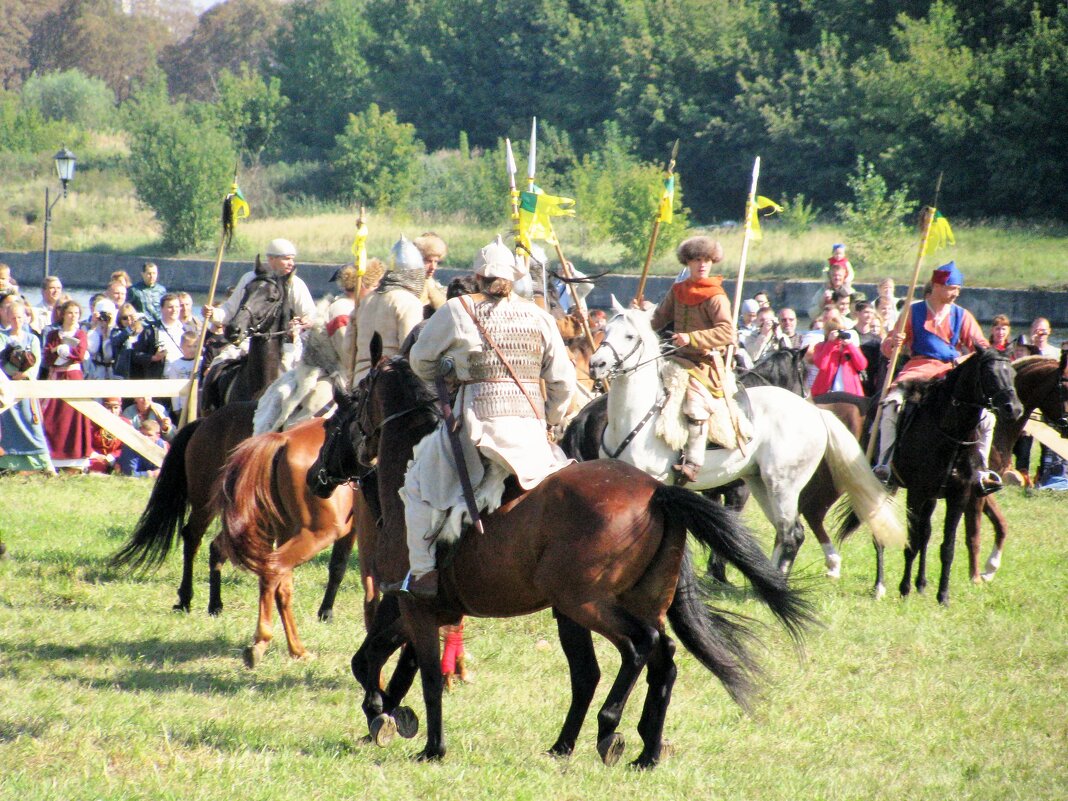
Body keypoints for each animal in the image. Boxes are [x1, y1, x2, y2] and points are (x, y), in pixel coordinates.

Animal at [212, 416, 375, 666]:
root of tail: (283, 439)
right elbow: (341, 569)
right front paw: (326, 613)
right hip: (314, 534)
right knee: (272, 570)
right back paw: (261, 640)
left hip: (285, 532)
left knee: (281, 586)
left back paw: (297, 649)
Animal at [307, 350, 807, 773]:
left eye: (337, 421)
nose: (316, 477)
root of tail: (657, 493)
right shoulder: (413, 607)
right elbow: (372, 660)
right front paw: (385, 715)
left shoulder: (416, 606)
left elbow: (421, 673)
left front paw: (425, 742)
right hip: (611, 606)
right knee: (655, 659)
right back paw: (634, 749)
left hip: (584, 604)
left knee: (637, 647)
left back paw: (609, 728)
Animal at [585, 301, 901, 572]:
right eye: (605, 331)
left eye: (629, 336)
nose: (596, 364)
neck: (635, 416)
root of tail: (814, 413)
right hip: (760, 483)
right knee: (786, 533)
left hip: (782, 485)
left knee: (792, 534)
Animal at [837, 348, 1021, 606]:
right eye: (990, 374)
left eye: (1013, 373)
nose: (1014, 408)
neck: (951, 434)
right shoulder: (916, 493)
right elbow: (911, 542)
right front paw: (904, 589)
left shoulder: (958, 495)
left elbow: (946, 547)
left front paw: (943, 596)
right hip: (886, 486)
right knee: (885, 530)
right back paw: (880, 586)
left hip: (932, 498)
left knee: (926, 533)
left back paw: (921, 584)